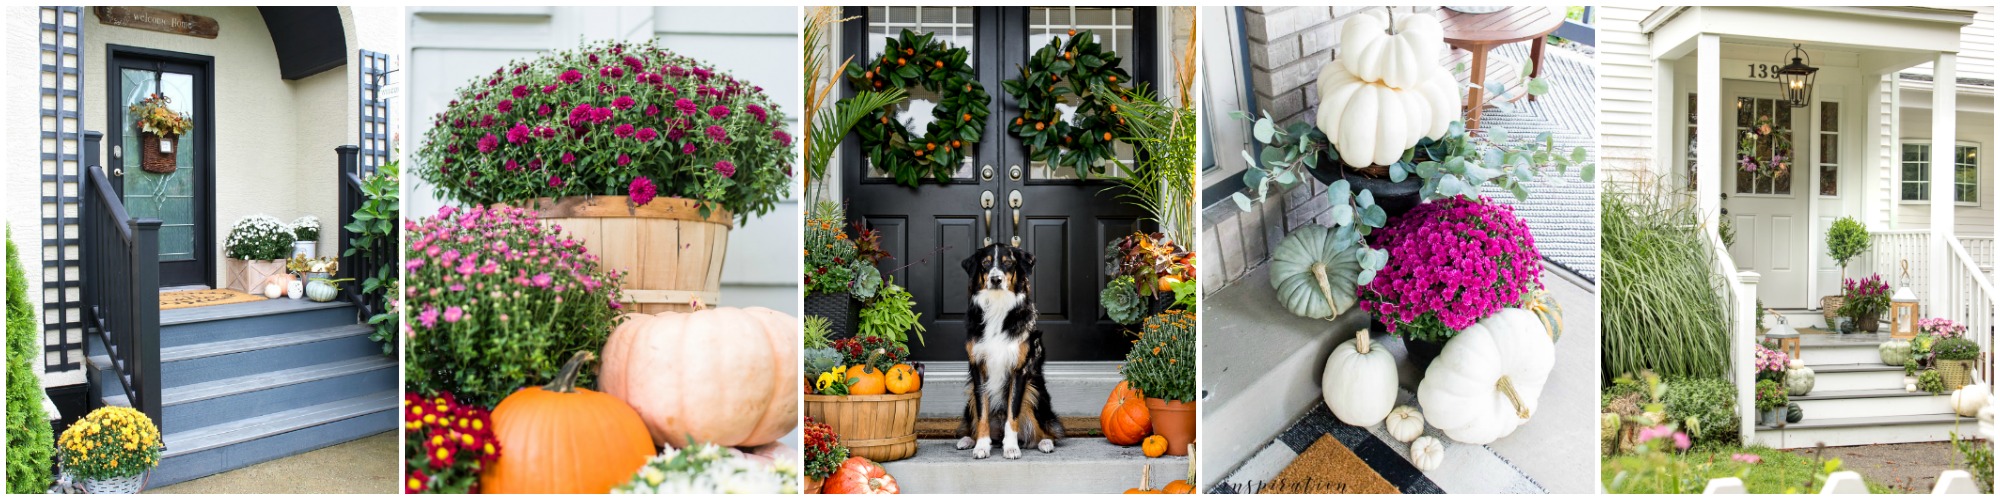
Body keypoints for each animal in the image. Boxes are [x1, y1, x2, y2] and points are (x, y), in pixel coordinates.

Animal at [952, 244, 1064, 458]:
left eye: (1008, 263)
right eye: (985, 263)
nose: (996, 279)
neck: (997, 306)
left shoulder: (1019, 370)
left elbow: (1013, 414)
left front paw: (1011, 447)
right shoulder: (978, 368)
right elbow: (982, 412)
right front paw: (981, 445)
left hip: (1034, 392)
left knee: (1048, 431)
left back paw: (1045, 442)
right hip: (971, 396)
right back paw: (968, 439)